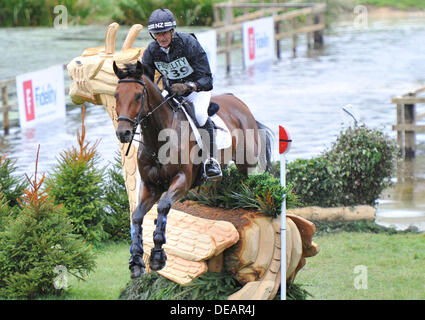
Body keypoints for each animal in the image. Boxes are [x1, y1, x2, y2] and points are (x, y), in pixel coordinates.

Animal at [112, 60, 272, 278]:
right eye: (116, 95)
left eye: (138, 95)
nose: (123, 133)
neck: (158, 140)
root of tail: (239, 103)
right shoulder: (150, 186)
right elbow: (136, 216)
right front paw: (136, 260)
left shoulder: (182, 181)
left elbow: (163, 207)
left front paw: (157, 256)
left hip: (247, 163)